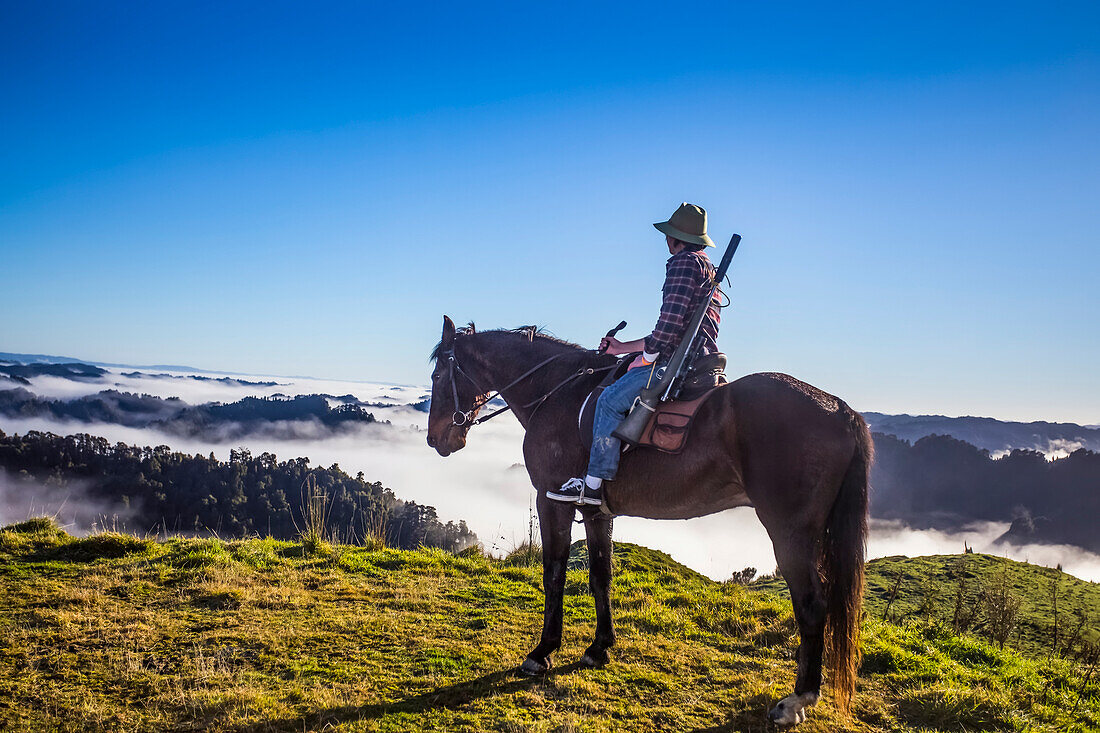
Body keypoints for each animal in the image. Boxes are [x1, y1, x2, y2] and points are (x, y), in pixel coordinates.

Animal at [426, 316, 866, 721]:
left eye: (437, 374)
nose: (435, 439)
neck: (556, 390)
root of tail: (839, 408)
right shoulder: (595, 511)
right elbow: (600, 575)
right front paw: (599, 647)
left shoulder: (552, 500)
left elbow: (554, 575)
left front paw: (543, 651)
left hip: (789, 531)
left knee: (811, 603)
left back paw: (798, 700)